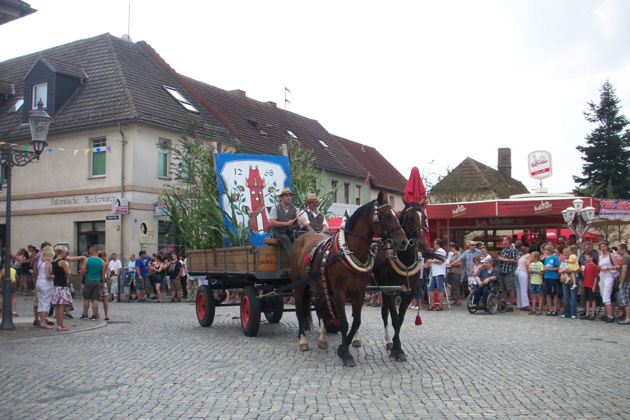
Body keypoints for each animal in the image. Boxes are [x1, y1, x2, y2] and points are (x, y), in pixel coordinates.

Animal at [292, 192, 410, 366]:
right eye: (387, 215)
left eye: (397, 215)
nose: (404, 242)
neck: (349, 251)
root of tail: (301, 238)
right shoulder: (340, 293)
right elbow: (344, 323)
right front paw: (346, 354)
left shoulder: (358, 293)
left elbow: (356, 321)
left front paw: (343, 348)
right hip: (299, 286)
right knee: (300, 311)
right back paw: (303, 341)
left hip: (320, 287)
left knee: (320, 307)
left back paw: (322, 339)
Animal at [376, 199, 430, 360]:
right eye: (410, 217)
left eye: (425, 217)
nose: (422, 243)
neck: (404, 260)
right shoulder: (390, 291)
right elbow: (395, 319)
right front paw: (398, 349)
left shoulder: (408, 293)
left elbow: (399, 320)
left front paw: (396, 347)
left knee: (384, 313)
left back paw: (388, 342)